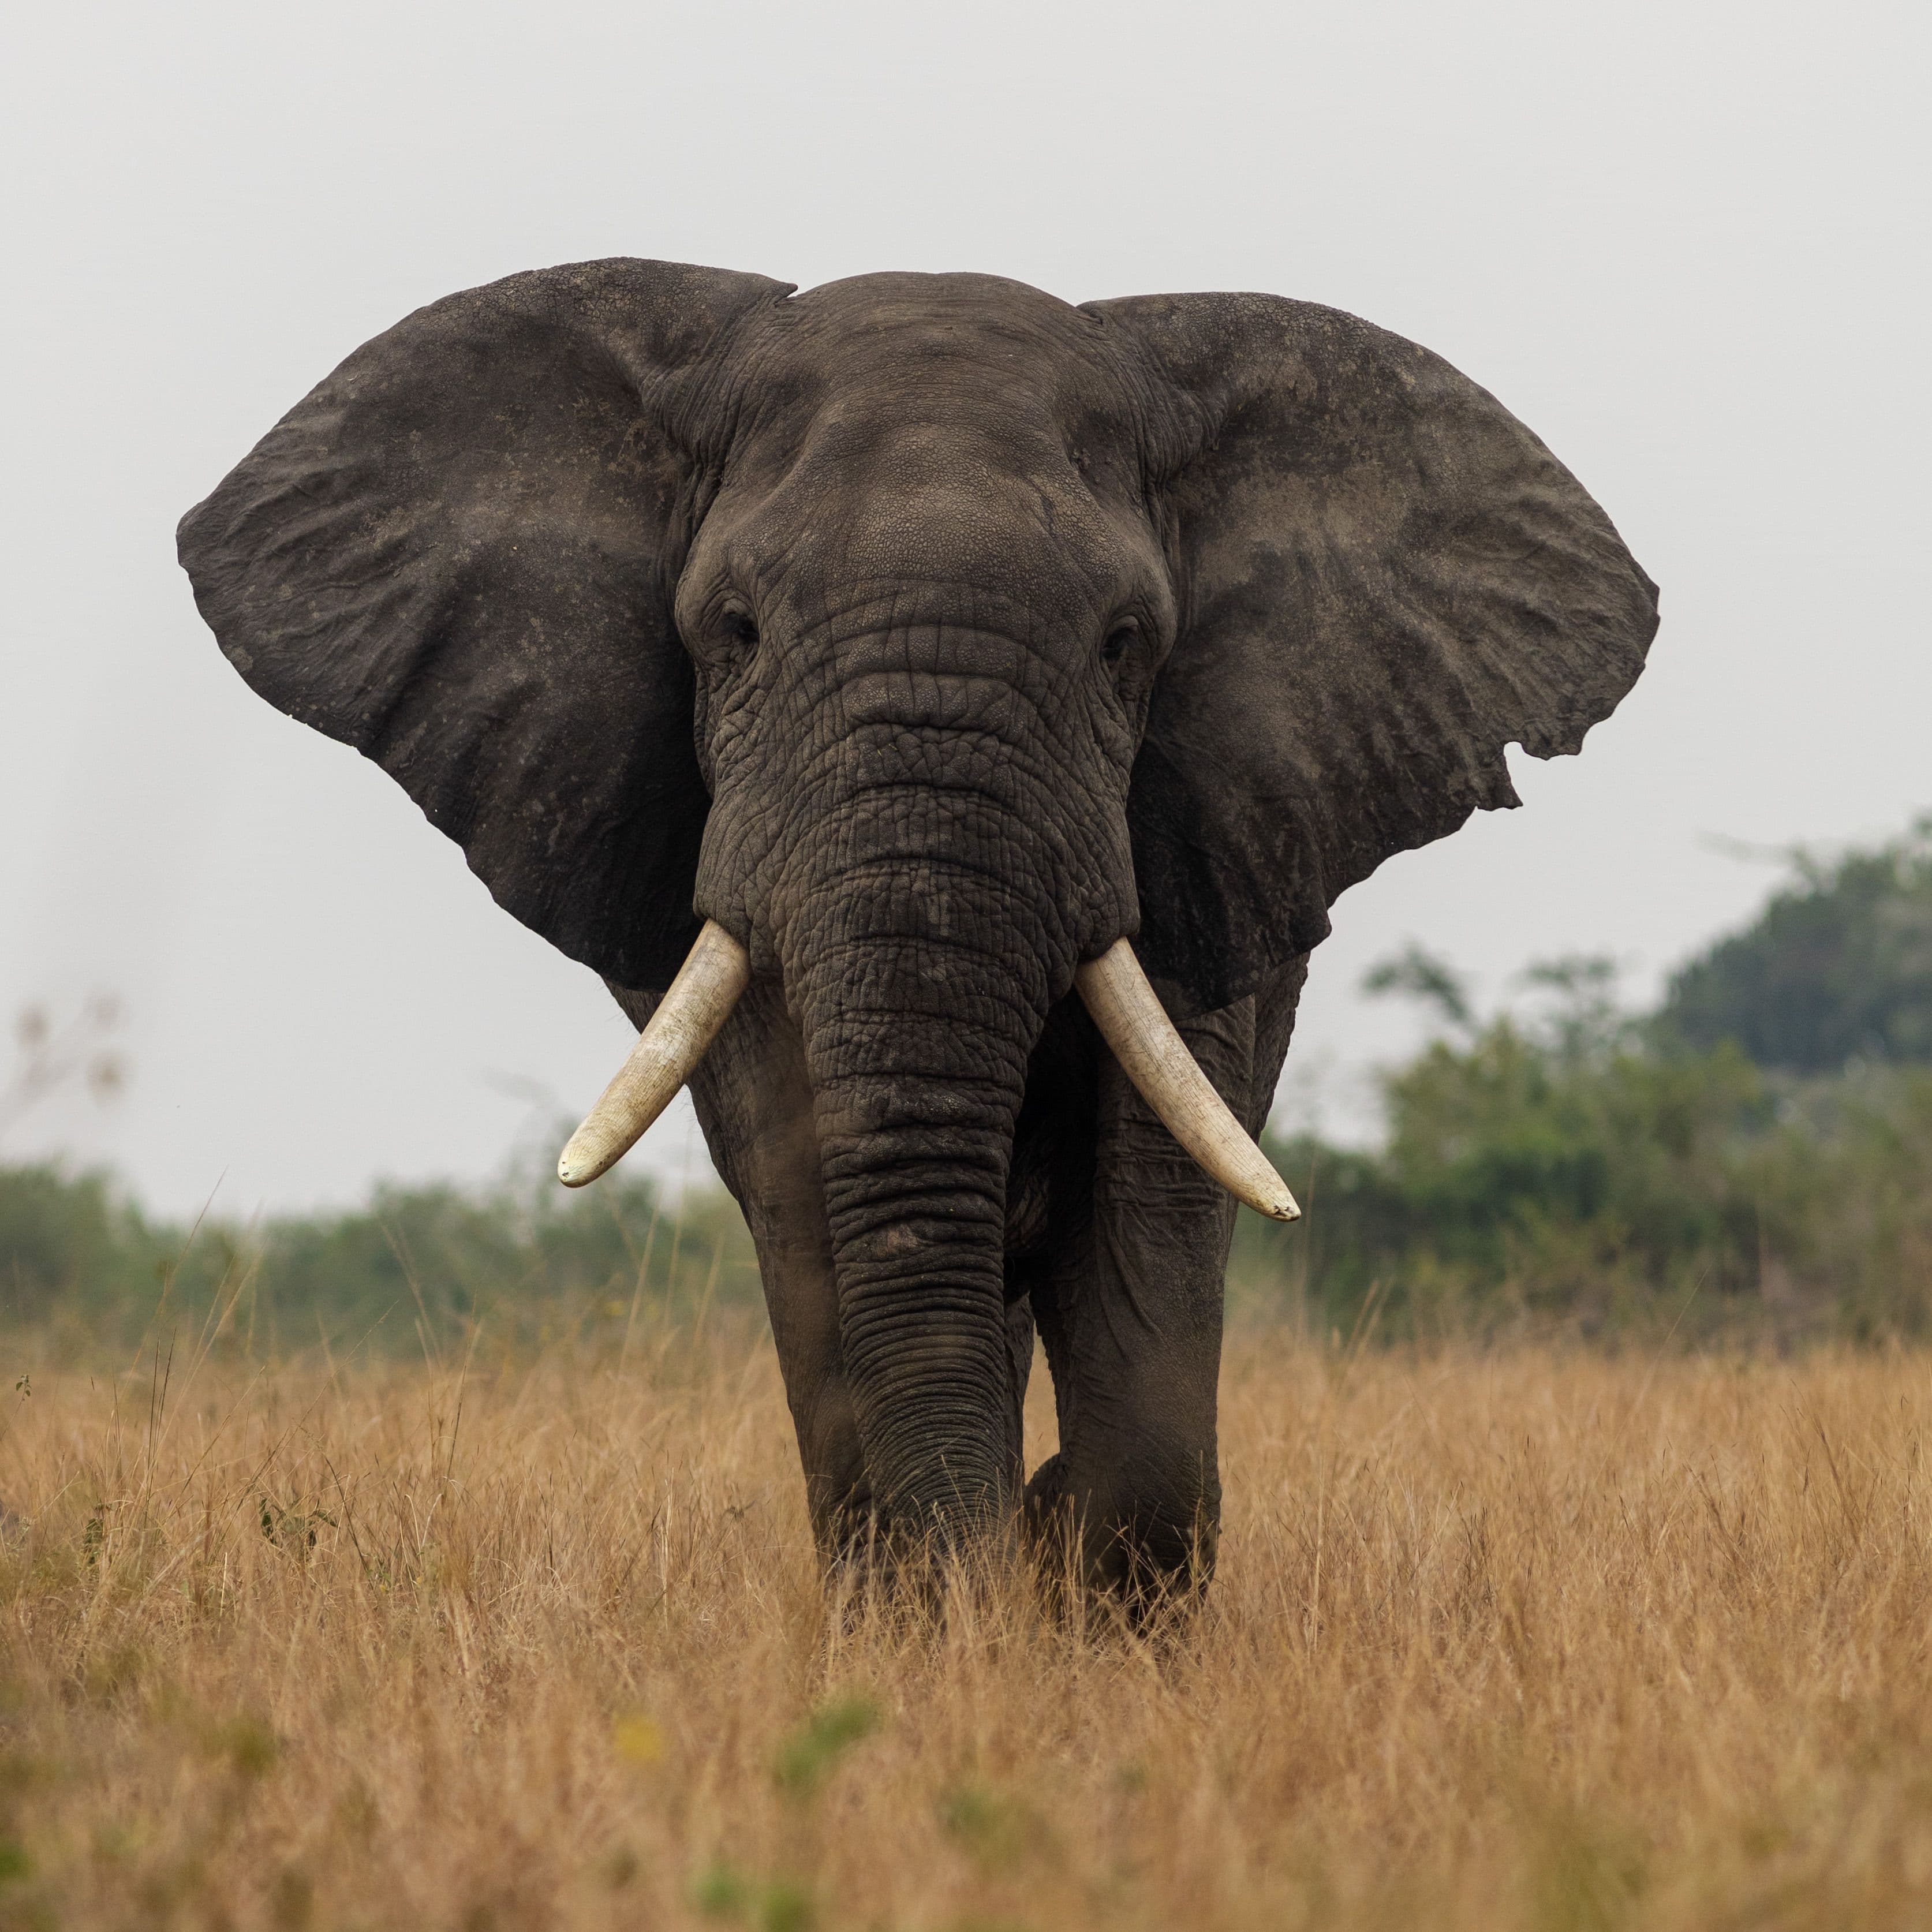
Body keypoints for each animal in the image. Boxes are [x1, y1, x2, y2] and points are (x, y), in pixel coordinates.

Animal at [178, 260, 1656, 1602]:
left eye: (1125, 643)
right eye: (733, 632)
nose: (1005, 1542)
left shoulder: (1202, 823)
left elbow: (1145, 1191)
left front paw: (1063, 1557)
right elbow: (811, 1192)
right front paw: (942, 1610)